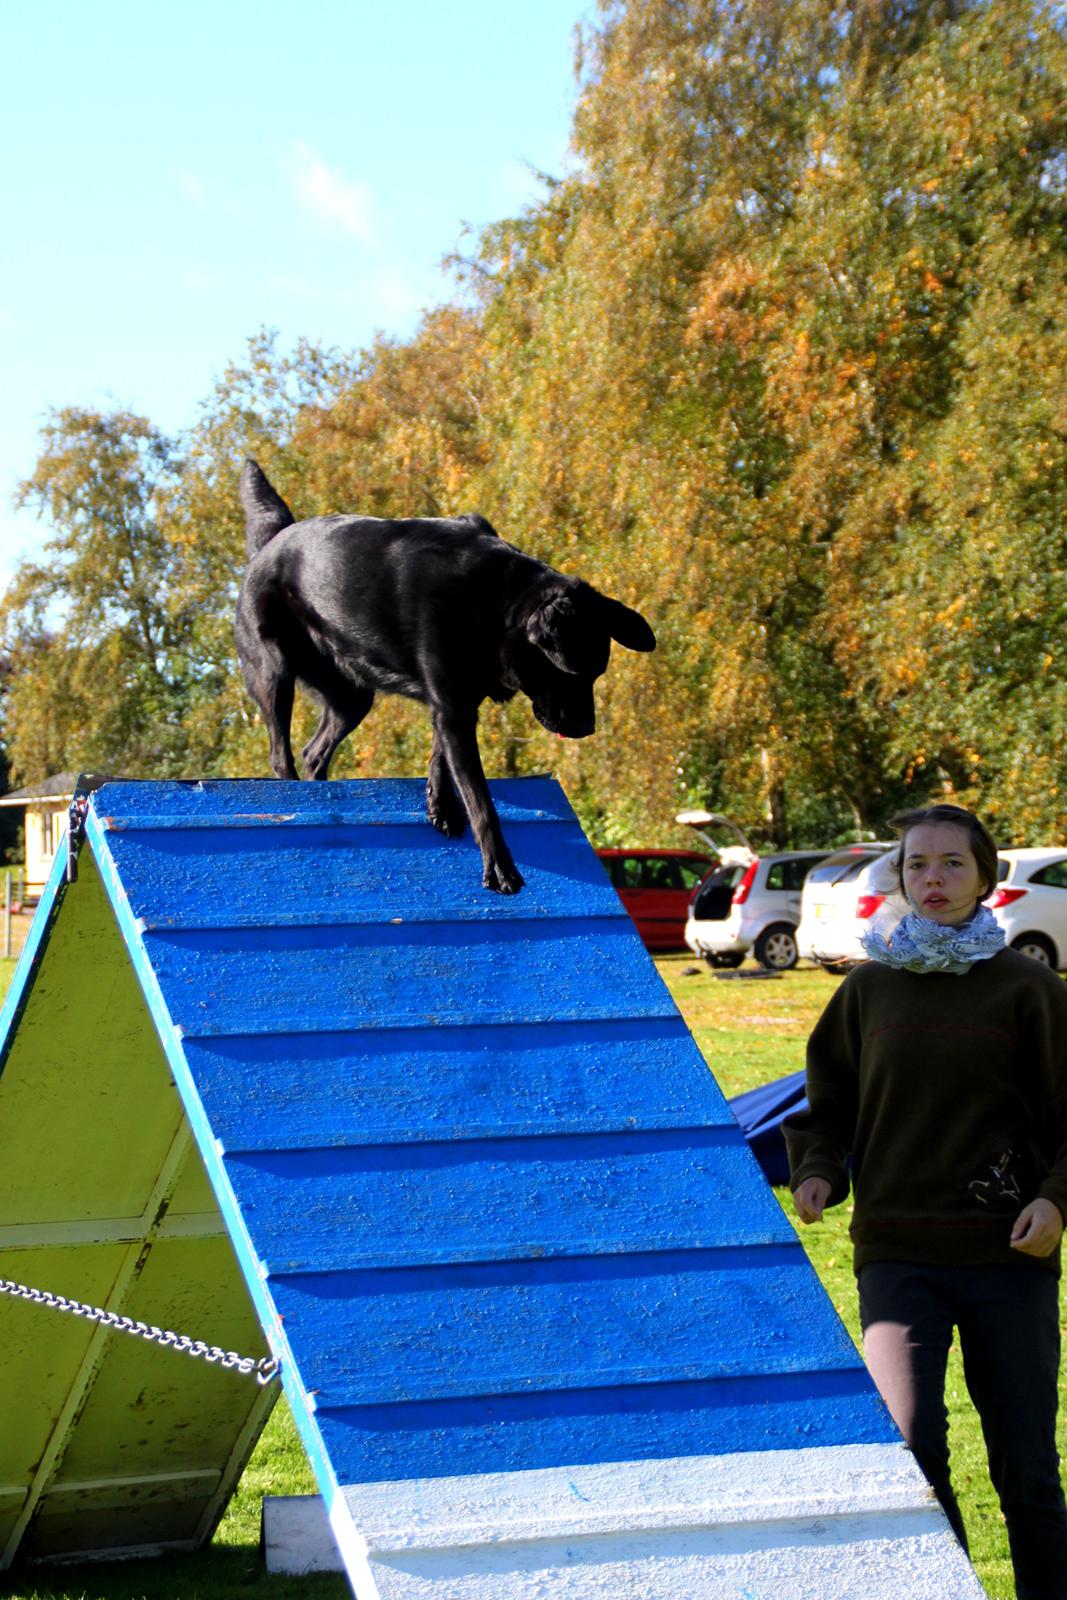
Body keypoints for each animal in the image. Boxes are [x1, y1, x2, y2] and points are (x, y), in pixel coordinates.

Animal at [235, 457, 655, 896]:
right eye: (570, 674)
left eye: (597, 673)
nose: (587, 728)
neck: (496, 600)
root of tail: (272, 541)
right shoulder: (453, 707)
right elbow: (480, 798)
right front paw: (500, 868)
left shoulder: (454, 703)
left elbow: (441, 758)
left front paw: (441, 807)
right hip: (273, 672)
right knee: (280, 751)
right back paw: (292, 792)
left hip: (352, 696)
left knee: (314, 751)